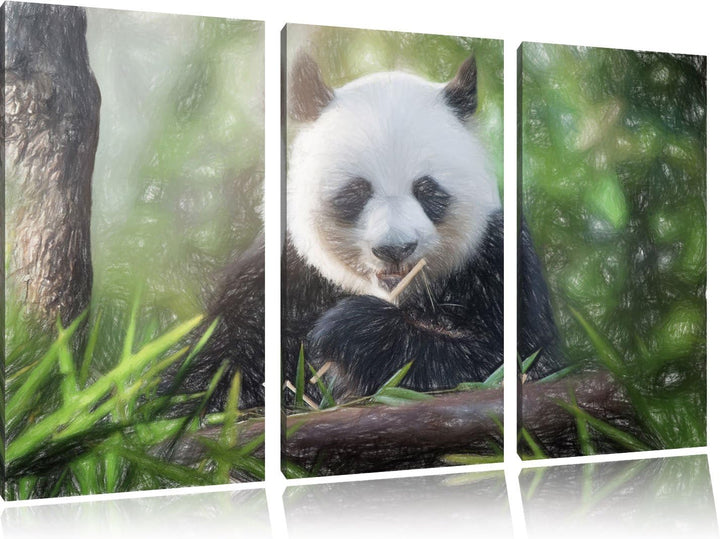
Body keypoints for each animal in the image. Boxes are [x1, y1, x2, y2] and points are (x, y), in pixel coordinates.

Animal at [181, 52, 562, 410]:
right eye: (357, 192)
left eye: (427, 190)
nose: (395, 249)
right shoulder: (278, 274)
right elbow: (209, 373)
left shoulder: (497, 263)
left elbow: (513, 363)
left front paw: (351, 330)